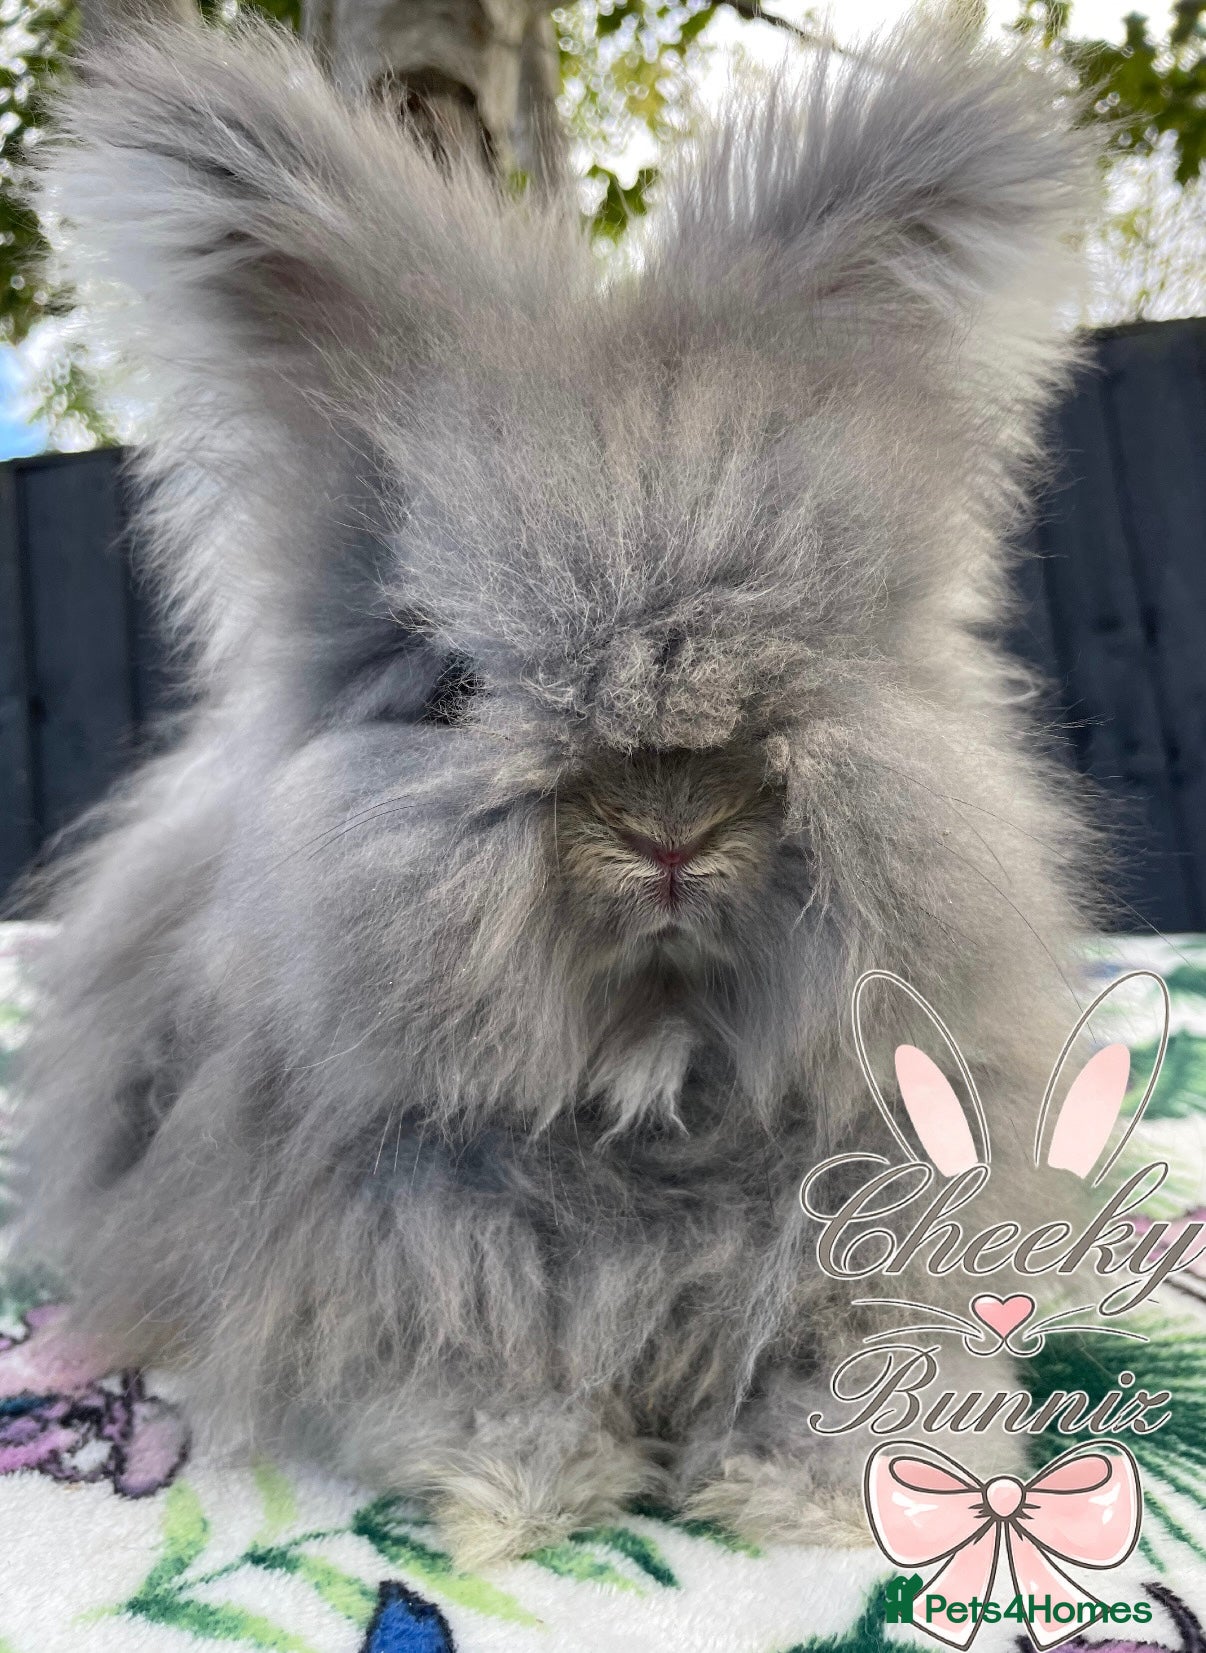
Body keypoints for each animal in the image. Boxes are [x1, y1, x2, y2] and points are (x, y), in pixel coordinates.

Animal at [10, 13, 1105, 1563]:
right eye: (451, 685)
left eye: (820, 647)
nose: (668, 827)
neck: (649, 1082)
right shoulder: (397, 1272)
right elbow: (478, 1376)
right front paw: (518, 1497)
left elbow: (866, 1369)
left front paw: (807, 1500)